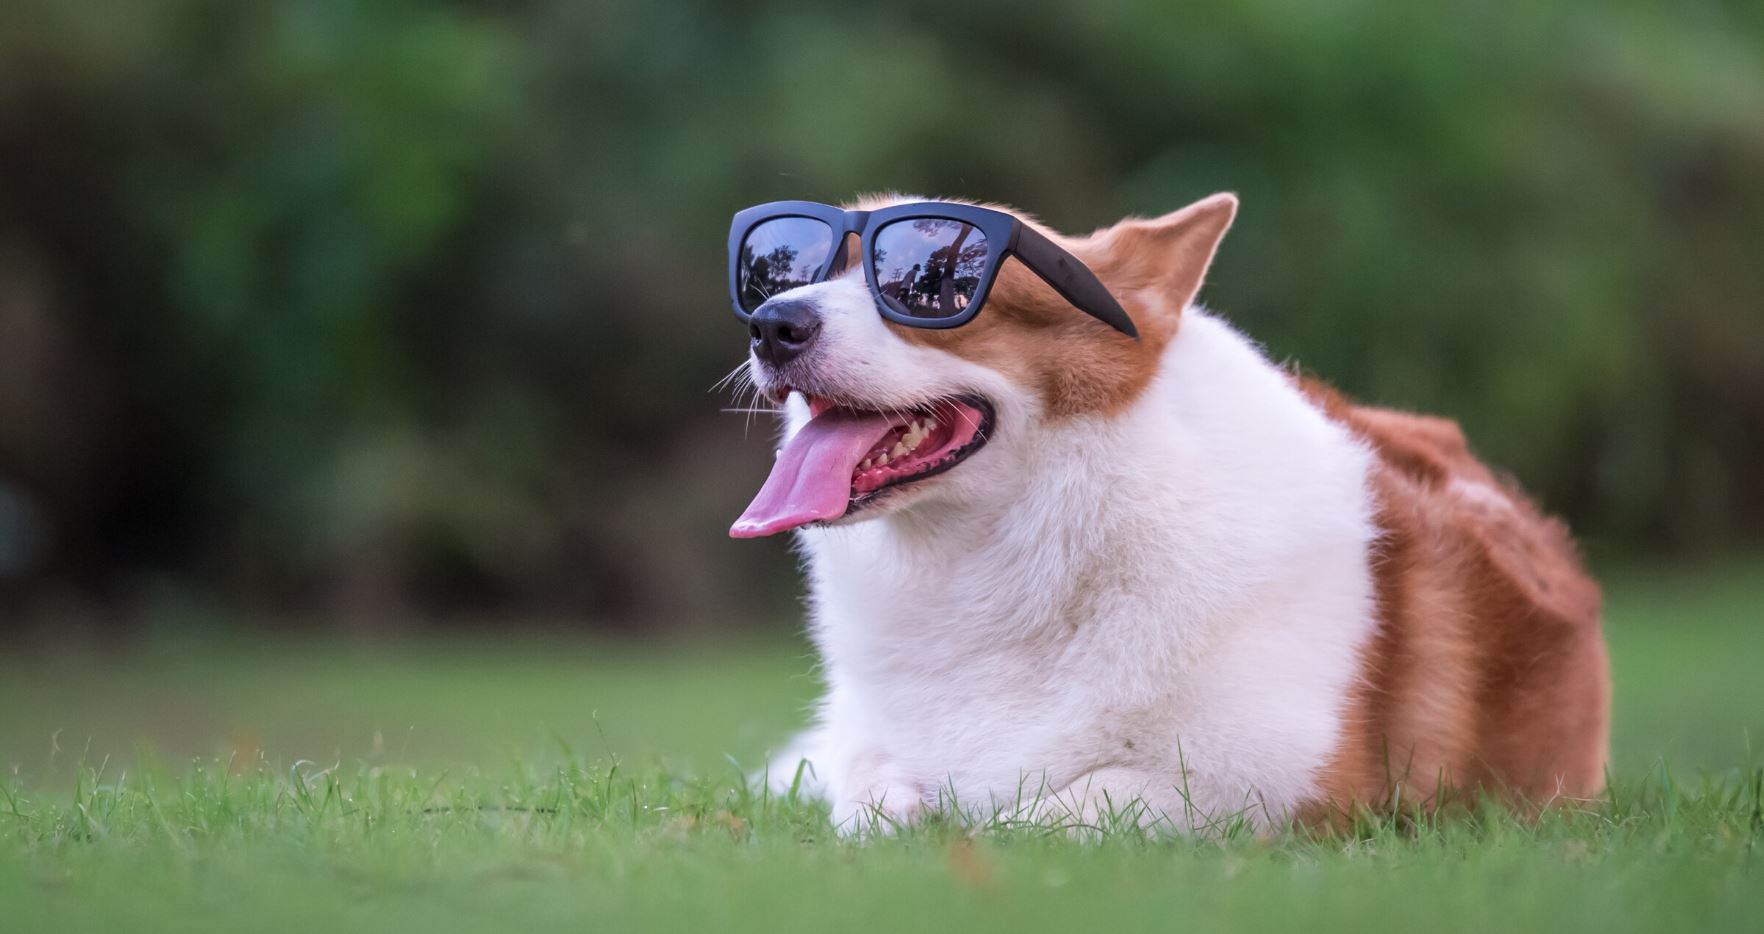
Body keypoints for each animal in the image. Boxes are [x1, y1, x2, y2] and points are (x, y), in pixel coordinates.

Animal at [726, 193, 1615, 833]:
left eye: (930, 284)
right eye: (787, 275)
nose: (772, 323)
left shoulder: (1267, 781)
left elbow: (1039, 815)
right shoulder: (871, 747)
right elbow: (872, 800)